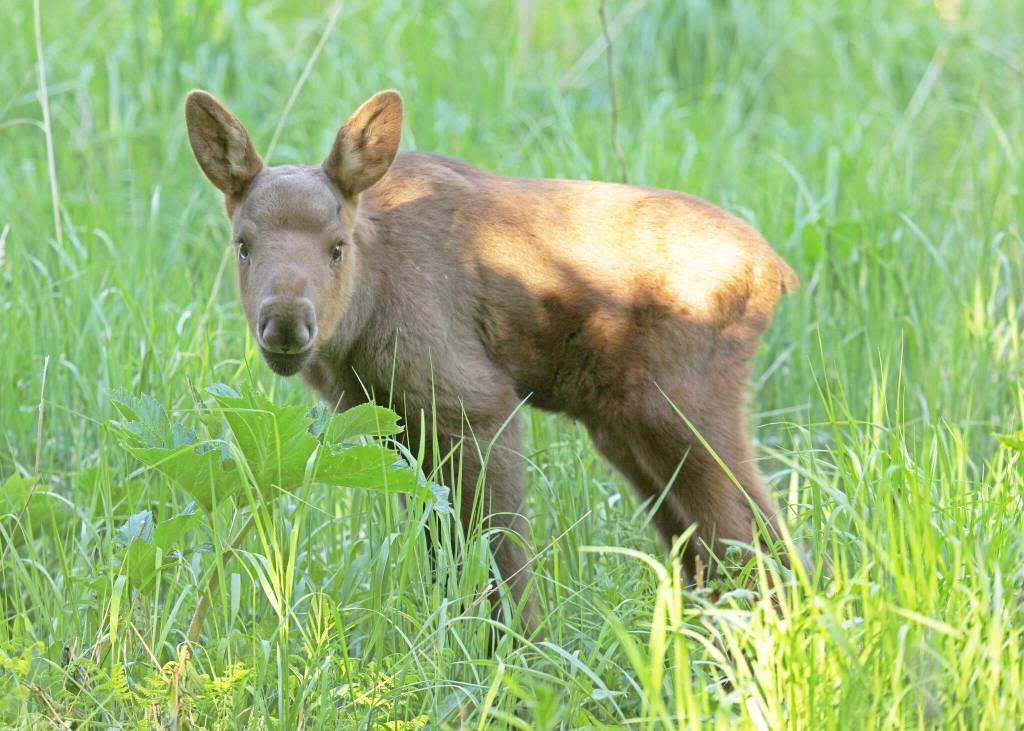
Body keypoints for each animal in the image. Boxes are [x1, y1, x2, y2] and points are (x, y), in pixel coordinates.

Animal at [184, 88, 799, 633]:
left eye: (337, 246)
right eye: (243, 243)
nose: (286, 324)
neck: (366, 310)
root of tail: (776, 271)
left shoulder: (475, 403)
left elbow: (496, 551)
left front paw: (515, 654)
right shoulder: (397, 426)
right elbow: (444, 551)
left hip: (682, 405)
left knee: (750, 532)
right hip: (626, 428)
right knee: (712, 543)